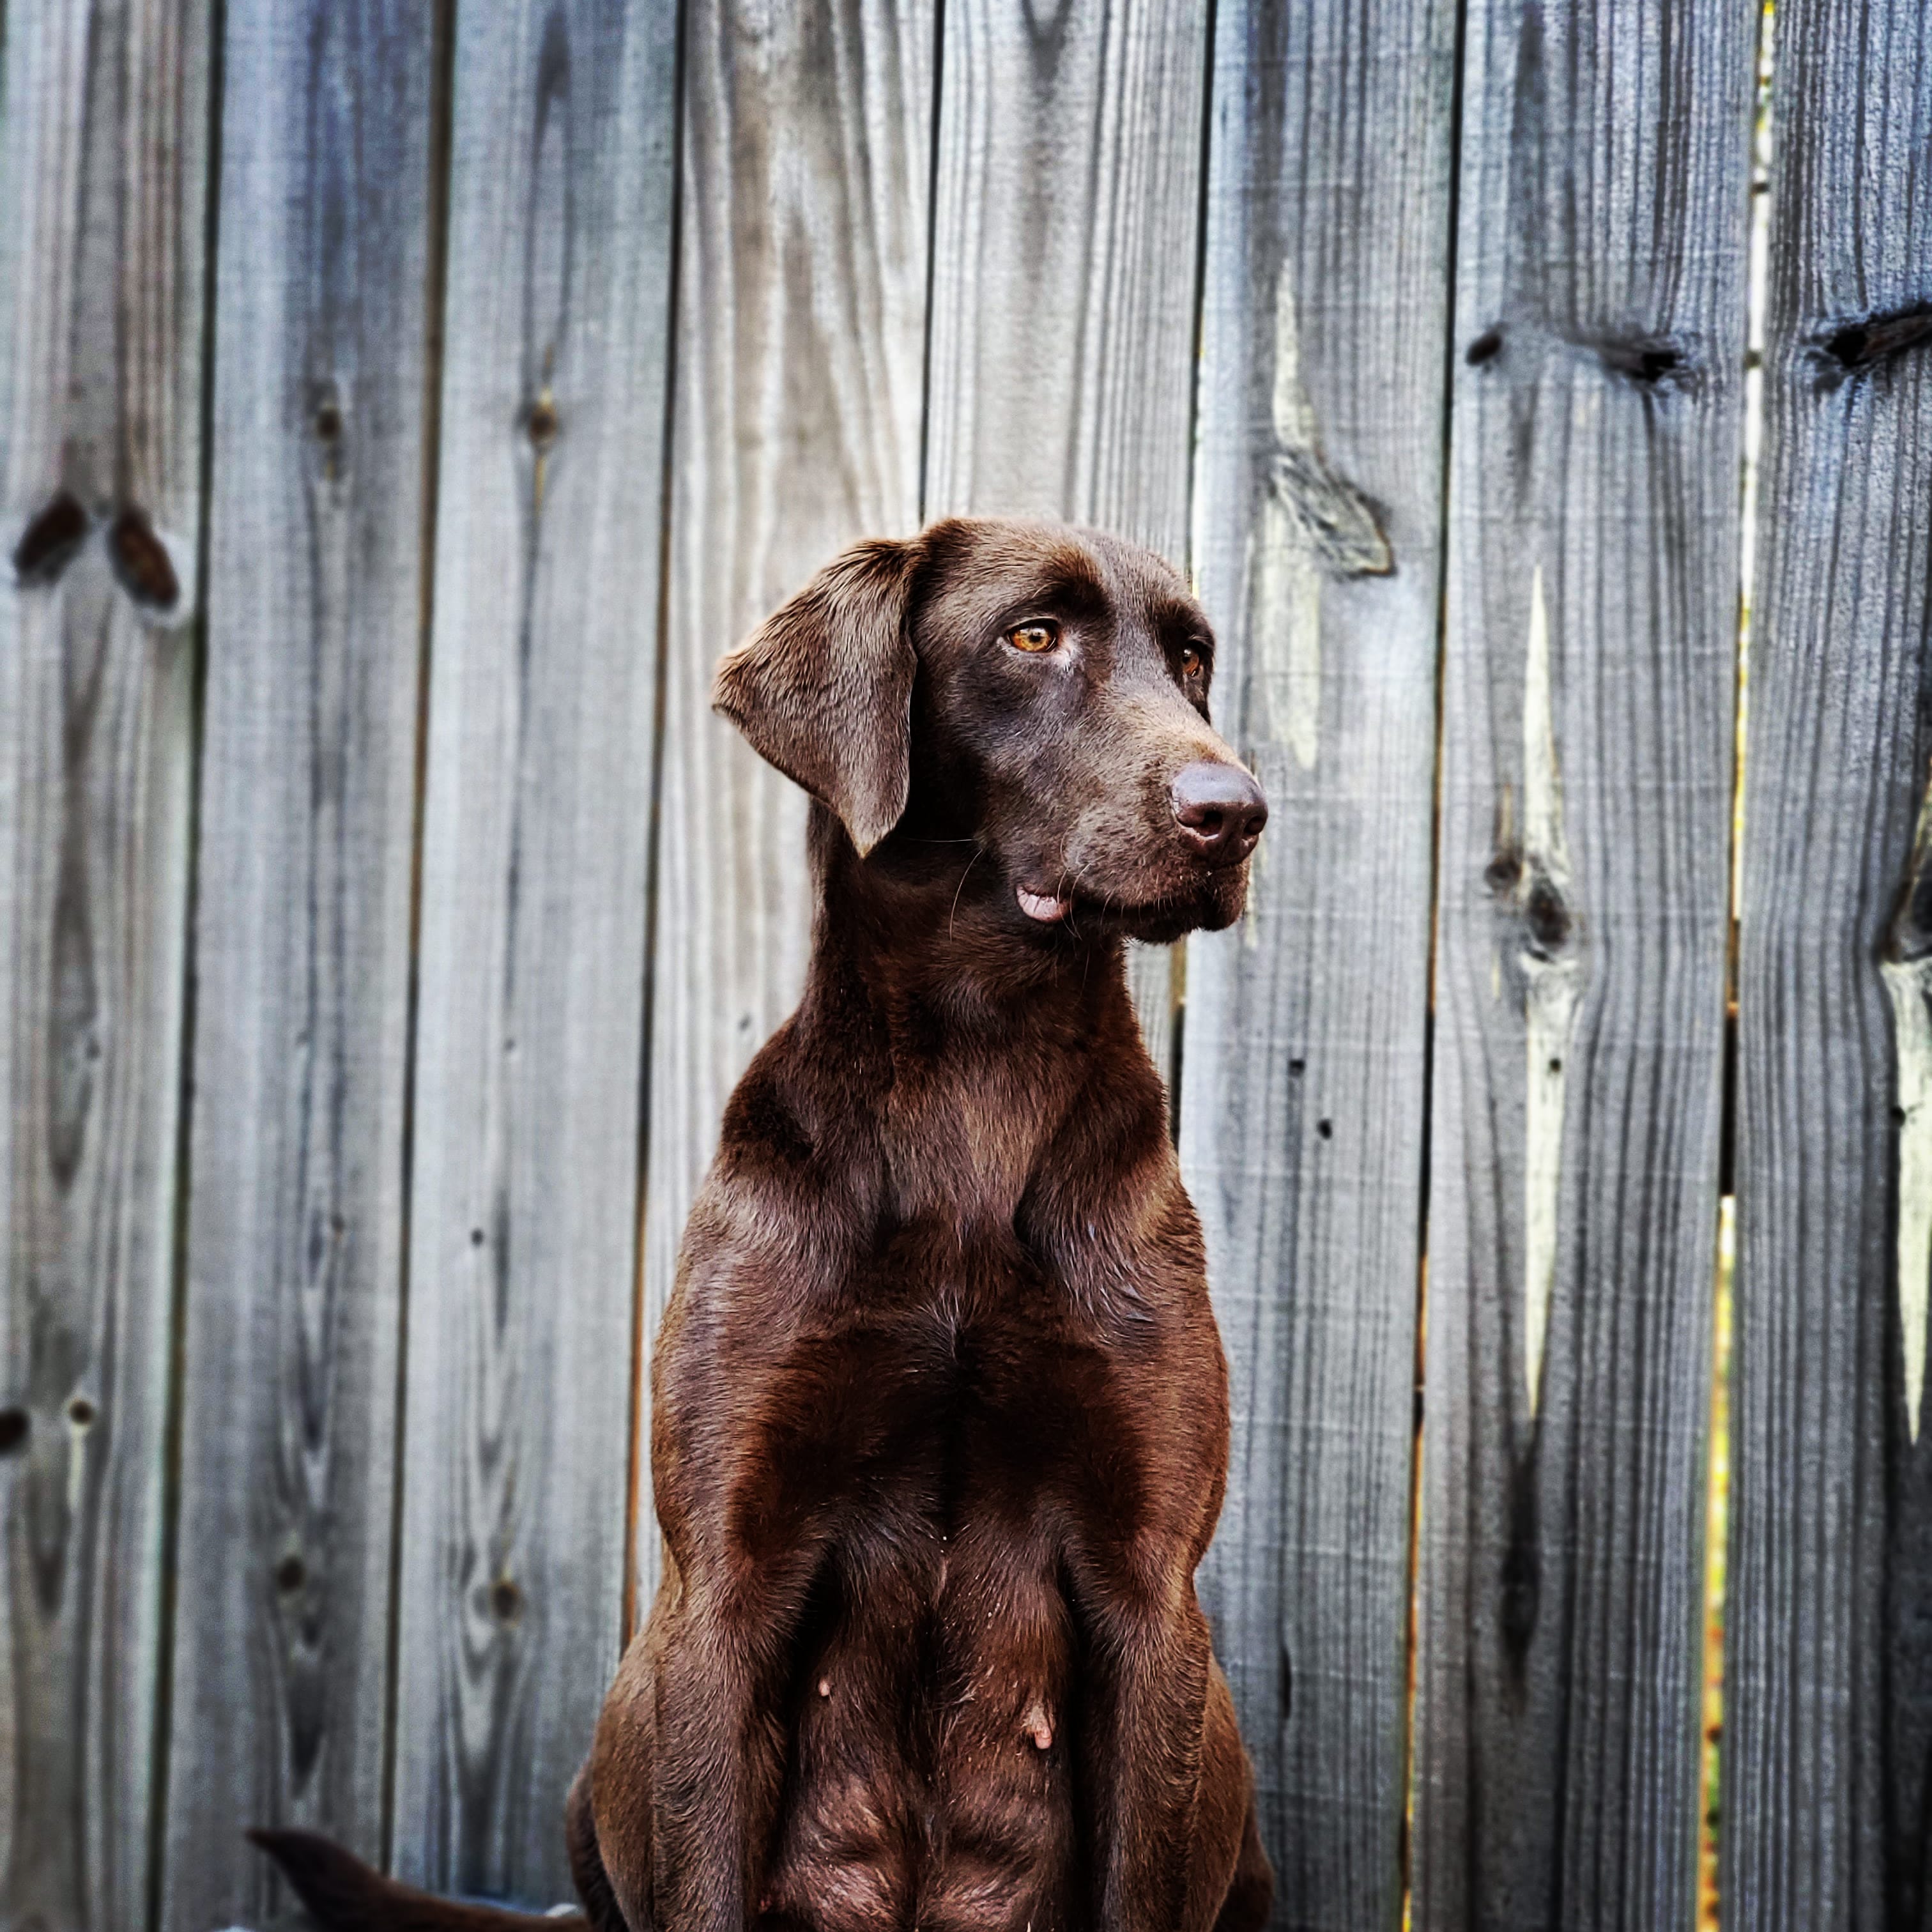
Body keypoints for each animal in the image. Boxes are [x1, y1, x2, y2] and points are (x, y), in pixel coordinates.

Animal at [264, 514, 1275, 1932]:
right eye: (1032, 635)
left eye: (1190, 658)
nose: (1232, 812)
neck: (980, 1063)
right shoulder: (726, 1580)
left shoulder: (1149, 1592)